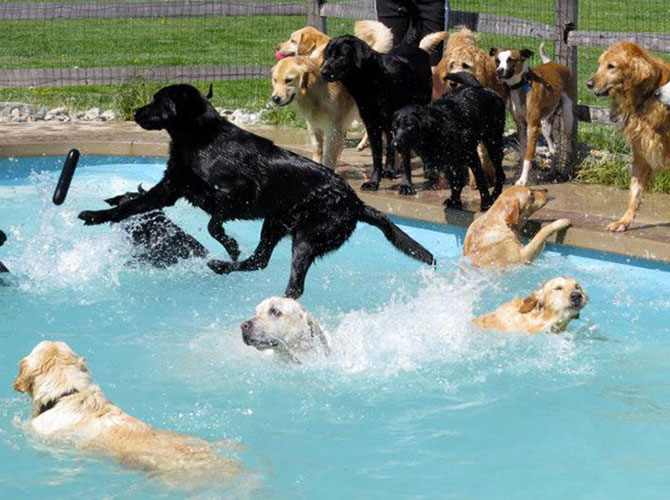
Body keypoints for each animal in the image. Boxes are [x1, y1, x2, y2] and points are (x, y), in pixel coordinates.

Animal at [79, 84, 436, 298]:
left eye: (157, 101)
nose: (136, 113)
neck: (201, 138)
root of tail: (357, 203)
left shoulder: (240, 193)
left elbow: (214, 223)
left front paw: (230, 244)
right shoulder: (170, 187)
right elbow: (128, 207)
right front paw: (95, 215)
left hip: (306, 236)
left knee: (294, 284)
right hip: (276, 223)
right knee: (260, 261)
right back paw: (223, 267)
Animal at [322, 0, 436, 194]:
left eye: (341, 57)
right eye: (327, 55)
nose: (323, 72)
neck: (373, 80)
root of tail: (413, 46)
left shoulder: (405, 122)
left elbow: (405, 158)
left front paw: (407, 185)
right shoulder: (372, 124)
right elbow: (376, 157)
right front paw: (374, 182)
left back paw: (427, 170)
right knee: (390, 142)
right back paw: (389, 170)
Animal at [392, 72, 506, 211]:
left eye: (409, 126)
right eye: (395, 127)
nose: (395, 144)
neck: (439, 128)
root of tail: (481, 88)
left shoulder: (471, 155)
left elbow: (480, 179)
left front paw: (485, 203)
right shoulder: (446, 161)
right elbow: (455, 181)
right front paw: (455, 201)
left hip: (493, 142)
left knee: (500, 174)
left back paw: (495, 195)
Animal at [490, 43, 576, 186]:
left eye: (511, 60)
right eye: (497, 60)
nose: (499, 71)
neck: (519, 86)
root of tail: (552, 63)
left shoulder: (533, 127)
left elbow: (528, 155)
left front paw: (523, 180)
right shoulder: (522, 127)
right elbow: (523, 152)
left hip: (568, 116)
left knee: (569, 146)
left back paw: (566, 172)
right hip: (546, 124)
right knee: (553, 149)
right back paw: (551, 172)